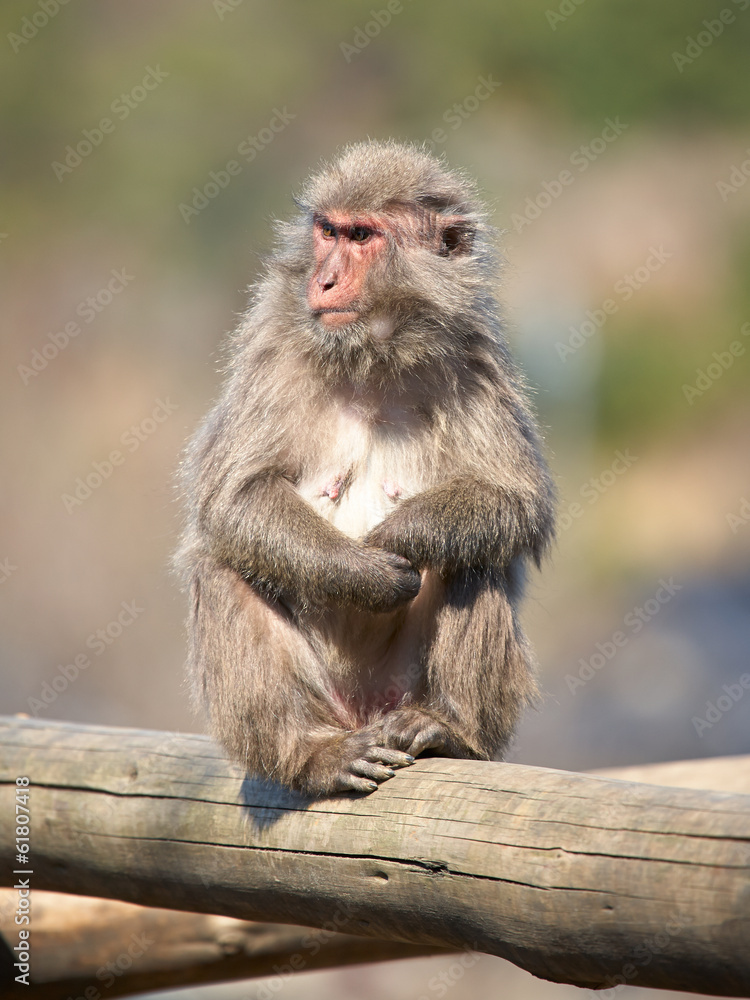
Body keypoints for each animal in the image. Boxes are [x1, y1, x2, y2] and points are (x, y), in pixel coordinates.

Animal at [173, 141, 556, 796]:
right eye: (328, 231)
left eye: (362, 236)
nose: (323, 278)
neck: (373, 351)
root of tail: (361, 711)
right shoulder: (273, 347)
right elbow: (233, 499)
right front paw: (369, 571)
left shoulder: (474, 358)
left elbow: (514, 498)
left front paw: (401, 536)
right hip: (324, 699)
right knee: (221, 567)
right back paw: (310, 751)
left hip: (401, 689)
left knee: (476, 556)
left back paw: (449, 728)